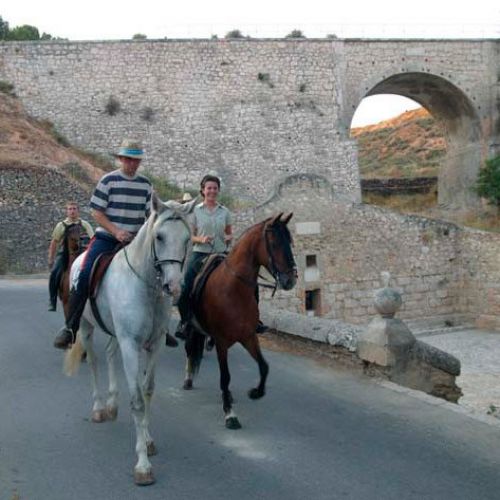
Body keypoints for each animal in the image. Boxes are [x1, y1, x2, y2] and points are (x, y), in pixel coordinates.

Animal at [64, 195, 193, 484]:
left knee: (111, 353)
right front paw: (143, 465)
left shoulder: (154, 345)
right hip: (87, 328)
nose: (173, 287)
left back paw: (112, 404)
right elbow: (136, 400)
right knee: (95, 362)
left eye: (187, 239)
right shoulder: (131, 345)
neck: (146, 286)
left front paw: (148, 440)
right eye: (159, 236)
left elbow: (147, 391)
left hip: (115, 335)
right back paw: (99, 408)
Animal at [184, 213, 296, 428]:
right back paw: (188, 379)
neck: (234, 290)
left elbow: (264, 367)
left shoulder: (249, 336)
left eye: (290, 241)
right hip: (192, 328)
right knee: (189, 349)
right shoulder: (221, 342)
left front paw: (256, 392)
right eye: (275, 243)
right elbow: (225, 377)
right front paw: (230, 414)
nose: (291, 280)